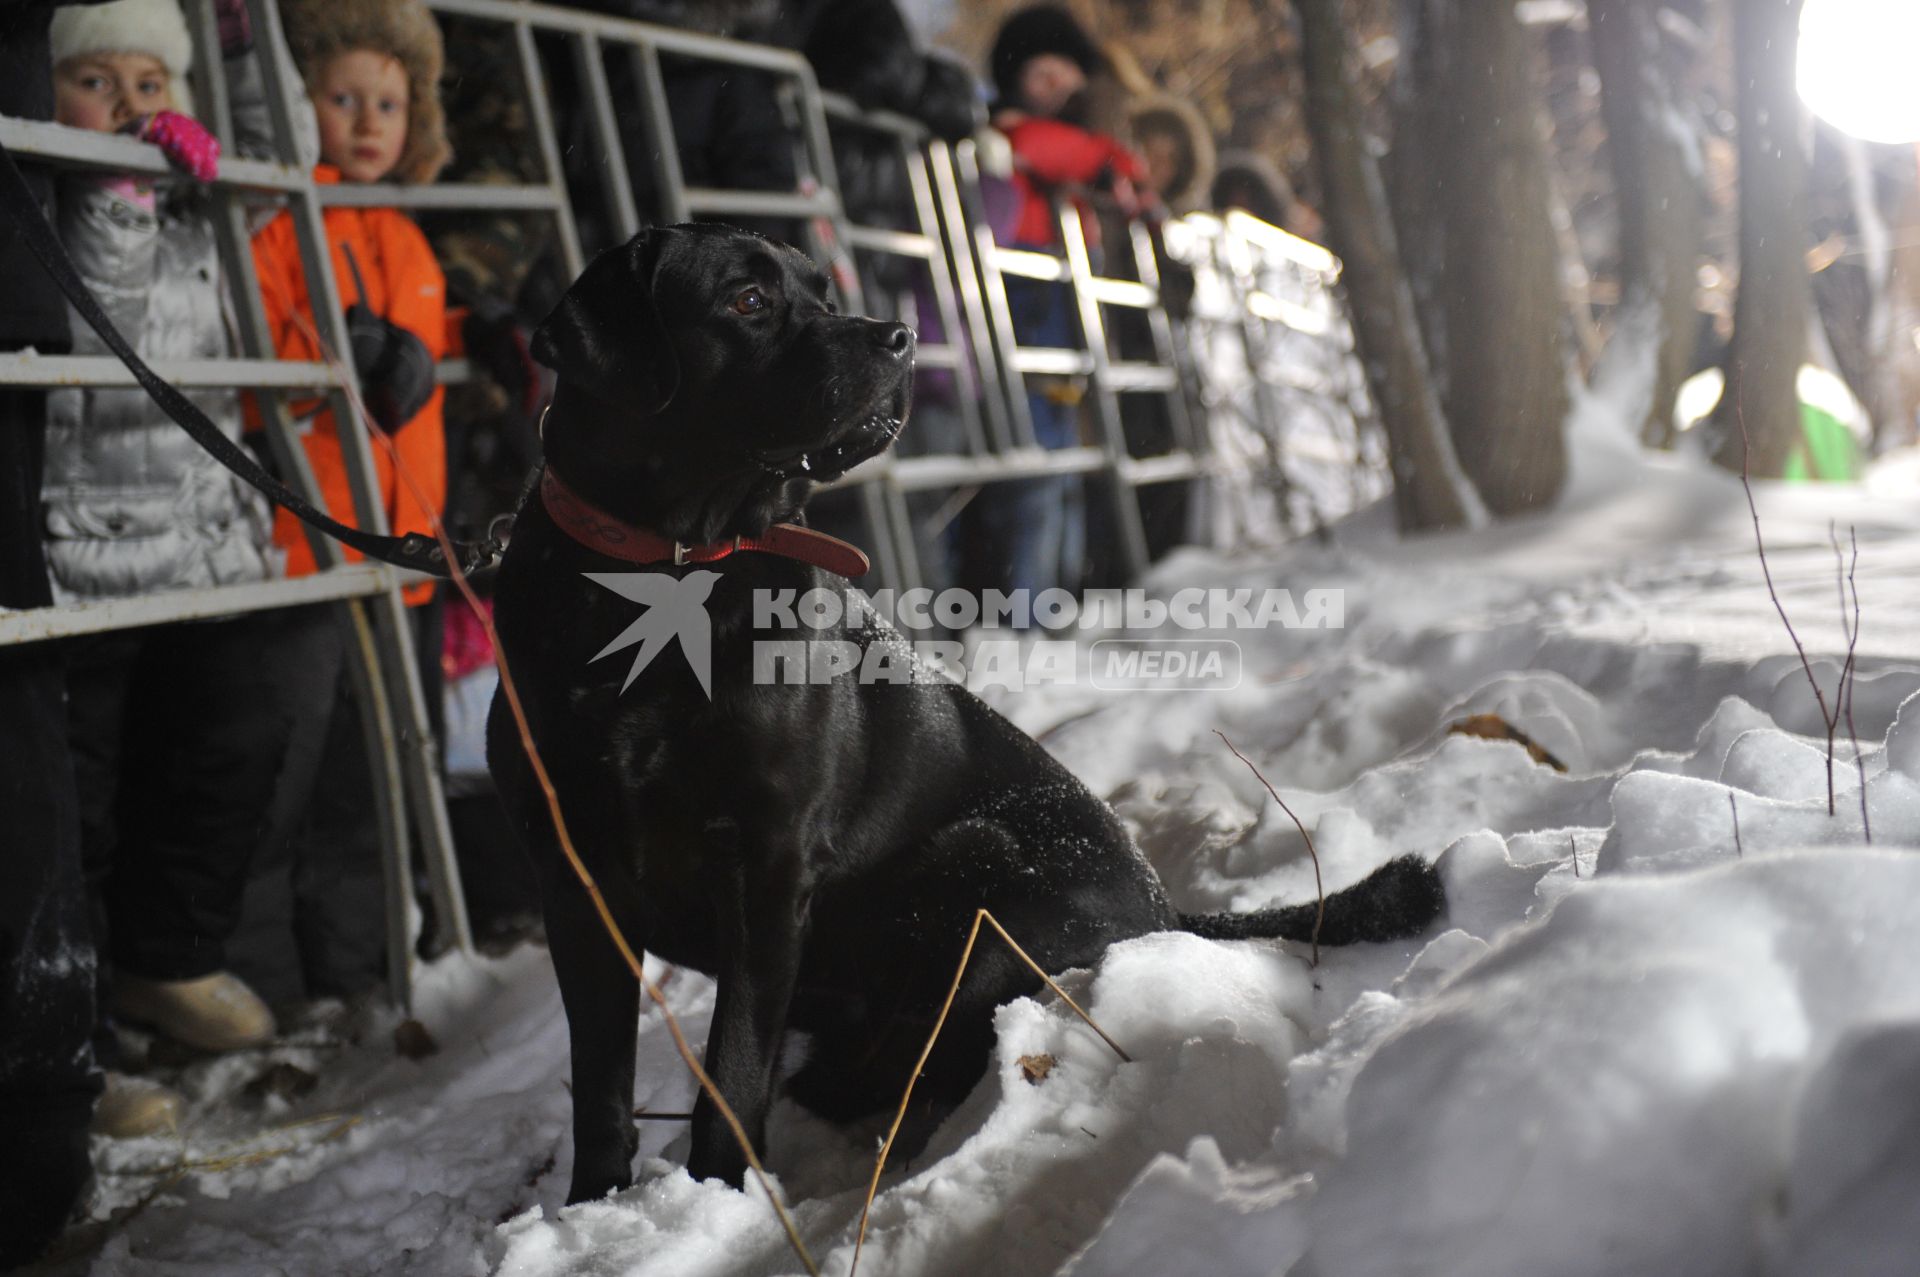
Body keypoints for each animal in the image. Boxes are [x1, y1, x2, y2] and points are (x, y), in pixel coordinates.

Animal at [487, 223, 1443, 1198]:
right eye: (747, 300)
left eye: (823, 291)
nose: (900, 338)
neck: (663, 576)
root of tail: (1166, 908)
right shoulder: (575, 877)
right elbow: (599, 1079)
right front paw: (594, 1203)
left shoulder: (766, 862)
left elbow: (735, 1065)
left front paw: (717, 1193)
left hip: (978, 865)